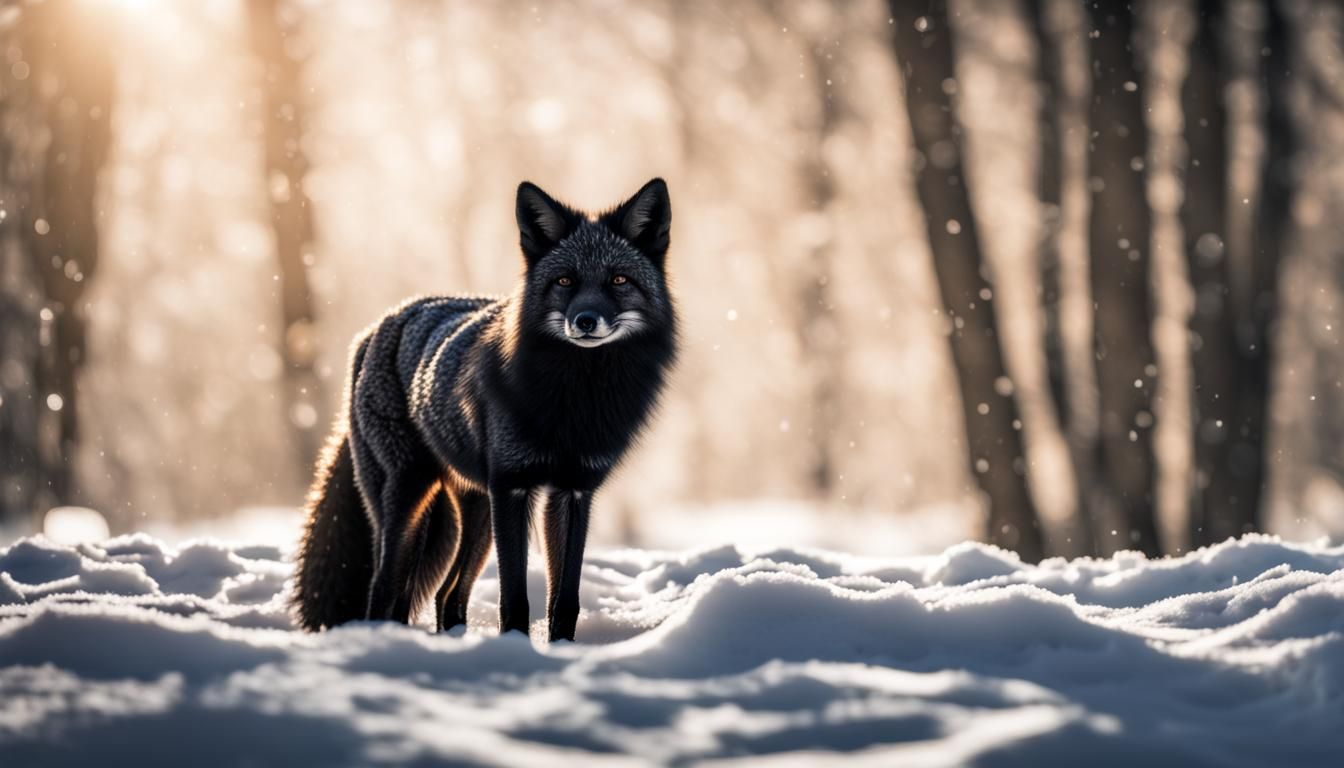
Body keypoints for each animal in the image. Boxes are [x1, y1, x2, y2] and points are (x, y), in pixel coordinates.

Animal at [290, 178, 676, 641]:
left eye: (619, 279)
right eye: (565, 280)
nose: (585, 320)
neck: (575, 401)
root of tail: (374, 330)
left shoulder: (573, 491)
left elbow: (564, 602)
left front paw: (558, 650)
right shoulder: (511, 487)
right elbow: (515, 598)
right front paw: (516, 648)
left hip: (474, 513)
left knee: (445, 595)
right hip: (407, 501)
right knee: (383, 593)